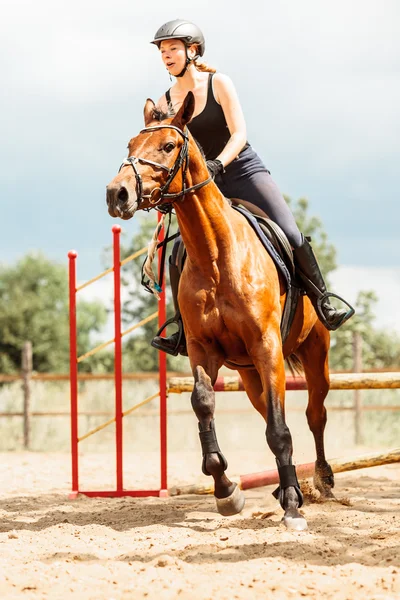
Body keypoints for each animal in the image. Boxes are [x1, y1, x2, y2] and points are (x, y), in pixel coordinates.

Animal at [104, 92, 332, 528]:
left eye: (168, 146)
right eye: (129, 144)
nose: (116, 194)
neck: (215, 254)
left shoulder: (267, 346)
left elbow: (281, 429)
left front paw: (293, 507)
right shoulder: (201, 348)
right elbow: (203, 403)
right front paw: (227, 491)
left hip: (313, 353)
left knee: (315, 413)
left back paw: (321, 481)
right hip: (249, 375)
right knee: (269, 413)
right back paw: (286, 486)